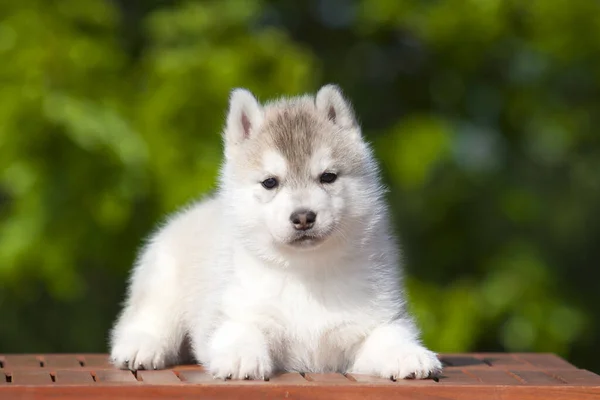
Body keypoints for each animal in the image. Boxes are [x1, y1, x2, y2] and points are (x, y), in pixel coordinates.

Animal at [110, 83, 442, 380]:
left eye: (328, 176)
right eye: (270, 182)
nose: (304, 217)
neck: (306, 271)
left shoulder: (373, 319)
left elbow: (388, 335)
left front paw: (407, 355)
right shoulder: (235, 311)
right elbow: (242, 330)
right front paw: (241, 357)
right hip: (163, 283)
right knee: (147, 319)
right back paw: (141, 347)